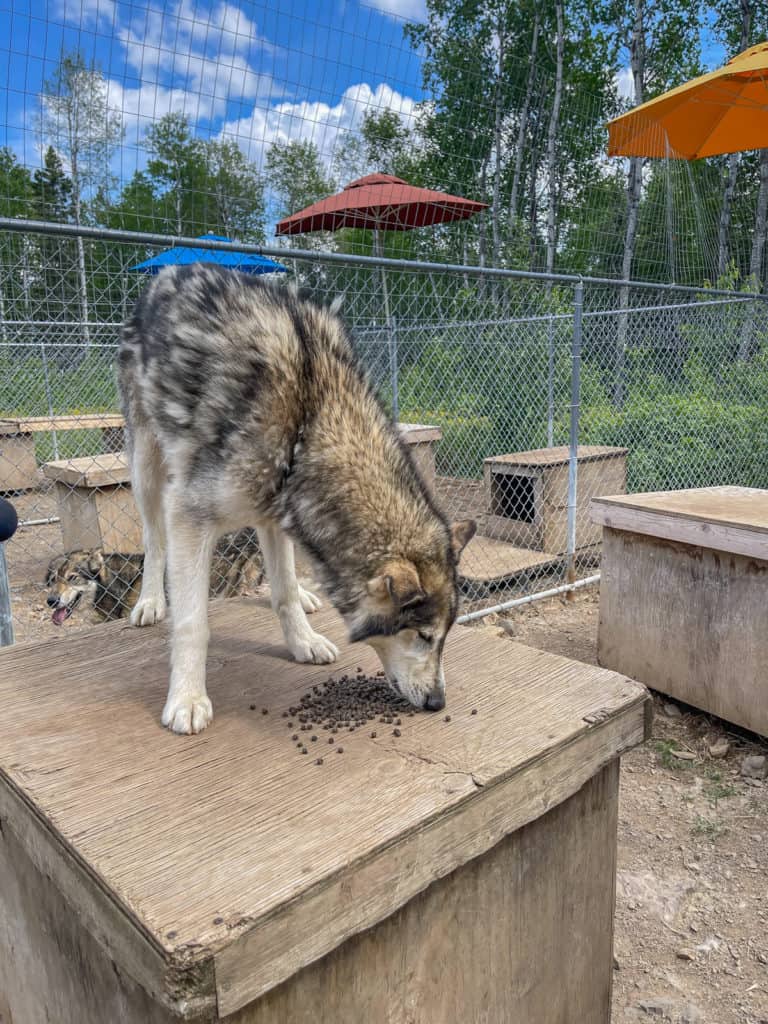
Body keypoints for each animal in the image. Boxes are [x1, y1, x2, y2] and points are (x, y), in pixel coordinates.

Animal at [118, 260, 475, 733]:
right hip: (147, 470)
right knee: (153, 541)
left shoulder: (278, 511)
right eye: (422, 635)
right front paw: (187, 699)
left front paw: (303, 641)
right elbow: (193, 622)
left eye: (444, 637)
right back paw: (151, 603)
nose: (438, 702)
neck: (306, 422)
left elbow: (284, 591)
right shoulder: (190, 514)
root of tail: (174, 269)